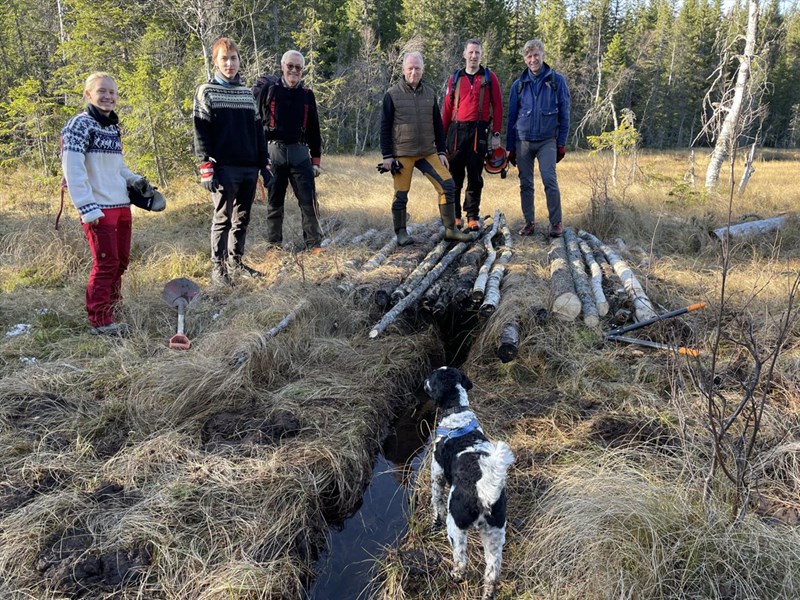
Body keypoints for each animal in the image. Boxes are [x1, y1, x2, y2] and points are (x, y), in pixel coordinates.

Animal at [422, 366, 516, 600]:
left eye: (432, 377)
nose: (422, 380)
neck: (457, 412)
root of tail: (484, 492)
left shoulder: (436, 475)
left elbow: (435, 505)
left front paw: (433, 523)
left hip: (456, 527)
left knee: (462, 562)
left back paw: (455, 576)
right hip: (494, 535)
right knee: (492, 574)